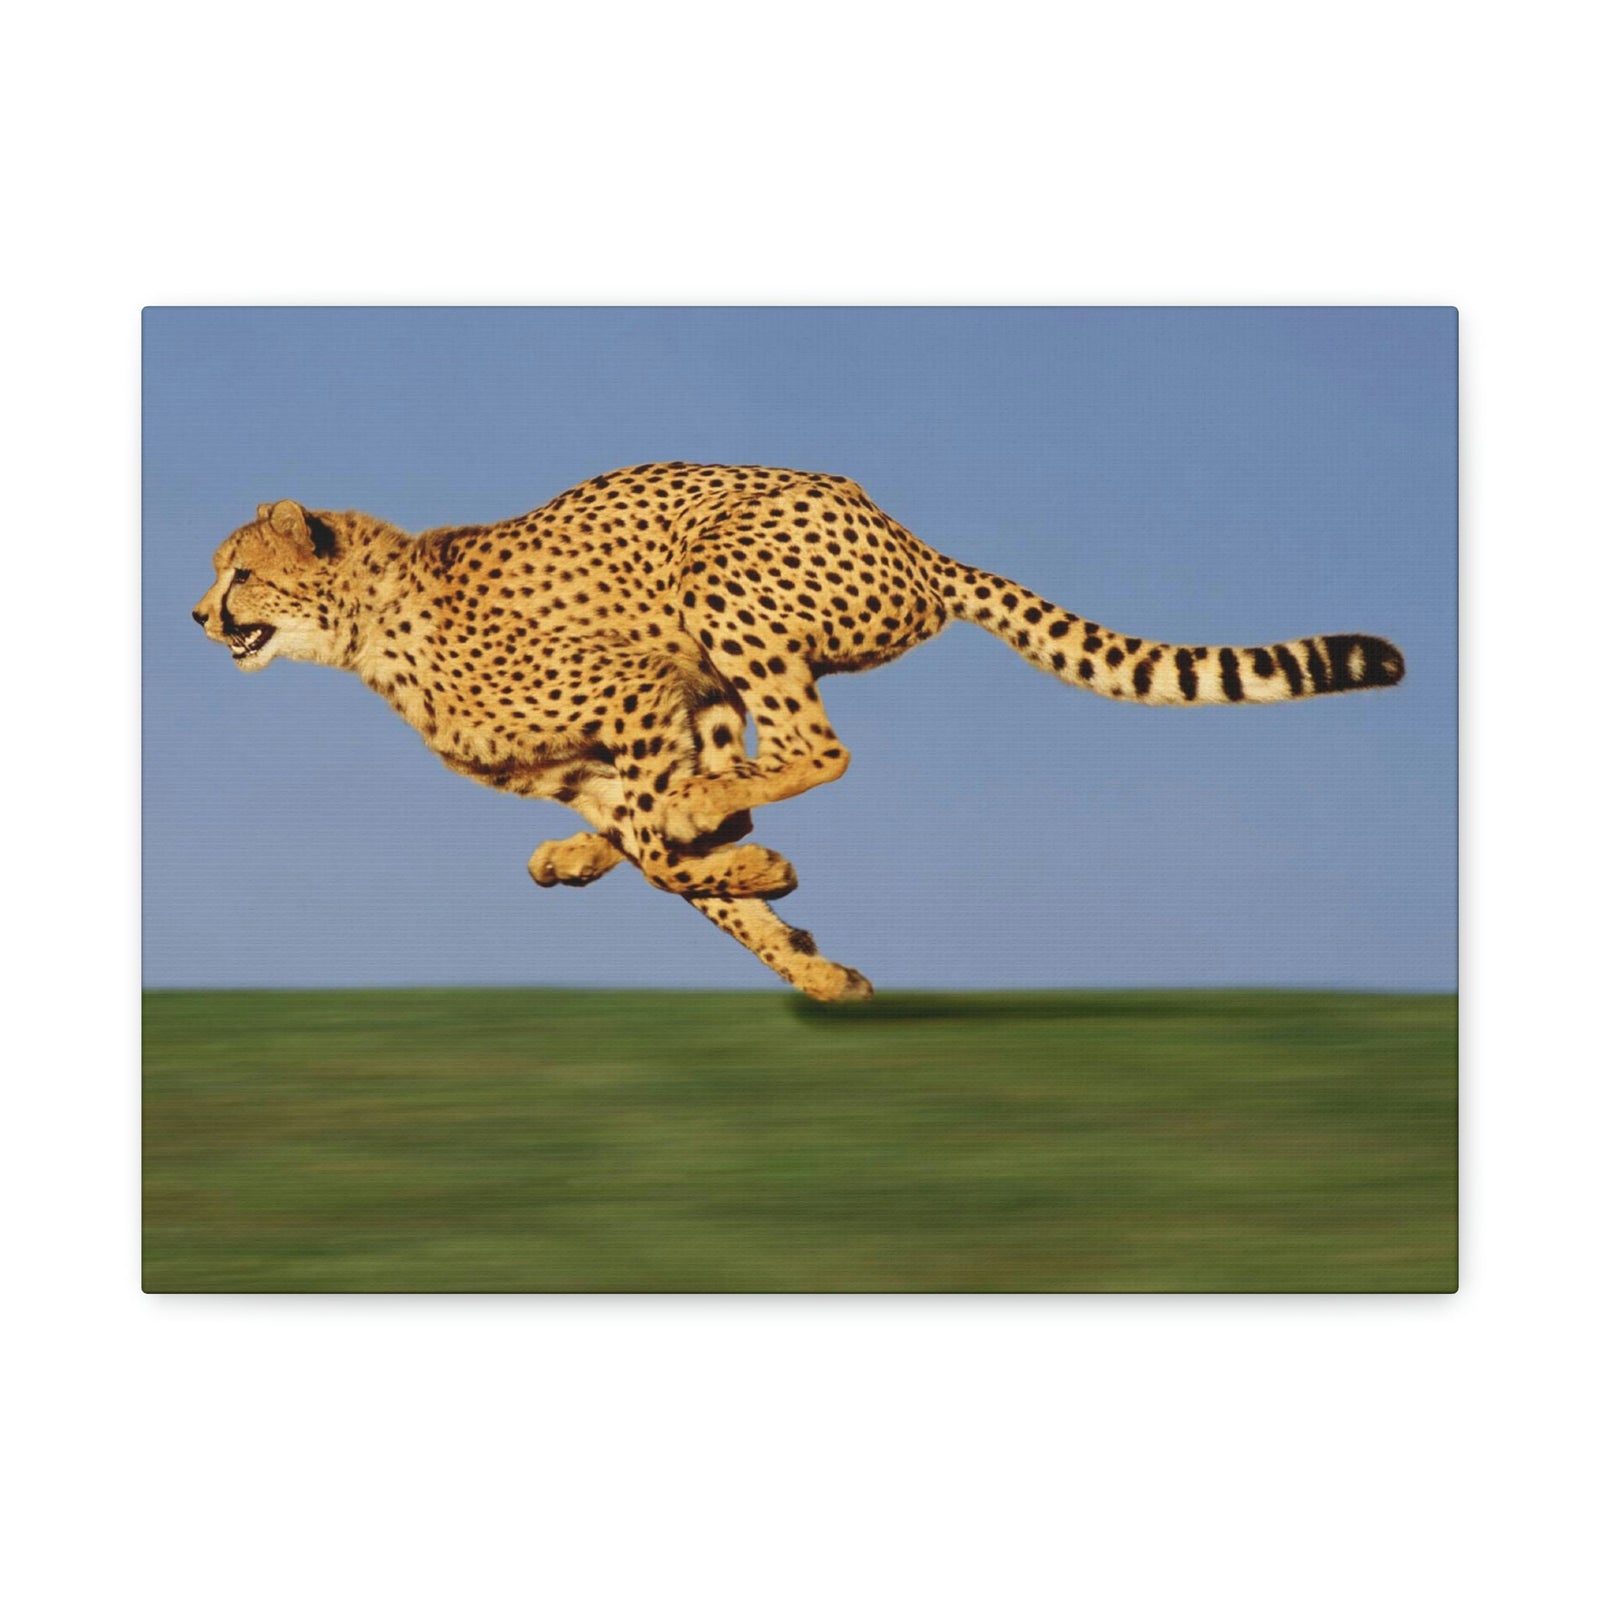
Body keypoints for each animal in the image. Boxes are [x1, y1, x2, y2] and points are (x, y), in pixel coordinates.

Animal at [193, 462, 1405, 1000]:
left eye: (239, 572)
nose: (198, 615)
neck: (371, 624)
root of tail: (909, 538)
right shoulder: (609, 751)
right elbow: (670, 864)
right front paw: (811, 963)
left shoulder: (636, 691)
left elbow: (670, 847)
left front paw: (767, 884)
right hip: (721, 672)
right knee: (751, 762)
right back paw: (588, 855)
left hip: (718, 581)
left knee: (816, 749)